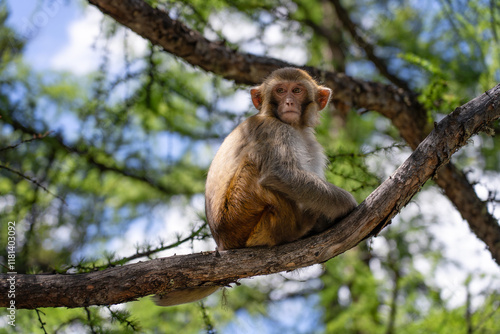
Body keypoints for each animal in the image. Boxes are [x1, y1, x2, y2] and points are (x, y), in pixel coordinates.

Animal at [154, 66, 358, 306]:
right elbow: (279, 174)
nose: (289, 102)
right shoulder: (274, 130)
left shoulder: (311, 143)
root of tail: (222, 244)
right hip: (241, 216)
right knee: (257, 167)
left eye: (297, 90)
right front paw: (347, 204)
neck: (292, 126)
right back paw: (301, 227)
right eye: (280, 90)